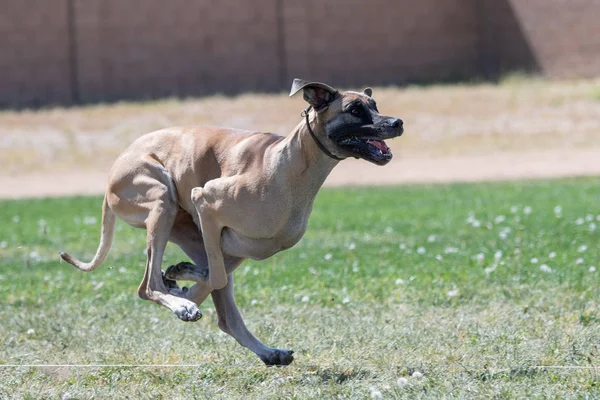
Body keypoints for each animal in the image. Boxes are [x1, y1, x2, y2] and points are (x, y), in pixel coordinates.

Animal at [59, 79, 404, 366]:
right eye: (355, 109)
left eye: (375, 105)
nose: (397, 122)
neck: (289, 167)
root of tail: (111, 176)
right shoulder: (205, 201)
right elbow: (215, 276)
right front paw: (183, 292)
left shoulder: (241, 246)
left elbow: (214, 278)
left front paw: (183, 279)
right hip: (161, 200)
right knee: (149, 286)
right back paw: (179, 300)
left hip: (189, 229)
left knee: (223, 314)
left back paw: (264, 348)